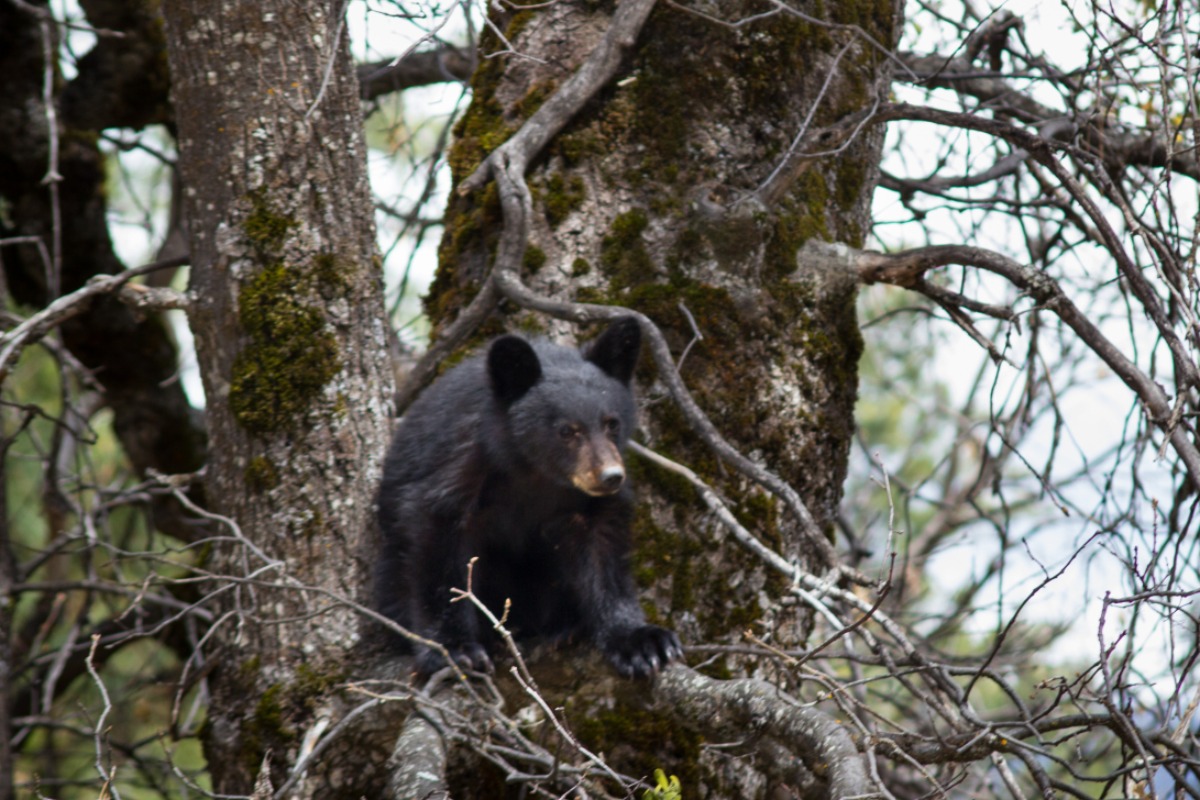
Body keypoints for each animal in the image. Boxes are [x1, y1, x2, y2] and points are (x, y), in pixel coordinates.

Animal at [375, 317, 682, 678]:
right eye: (567, 430)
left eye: (612, 423)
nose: (611, 477)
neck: (534, 472)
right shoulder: (459, 469)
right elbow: (437, 548)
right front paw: (455, 649)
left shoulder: (588, 506)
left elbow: (602, 554)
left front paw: (641, 642)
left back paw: (565, 626)